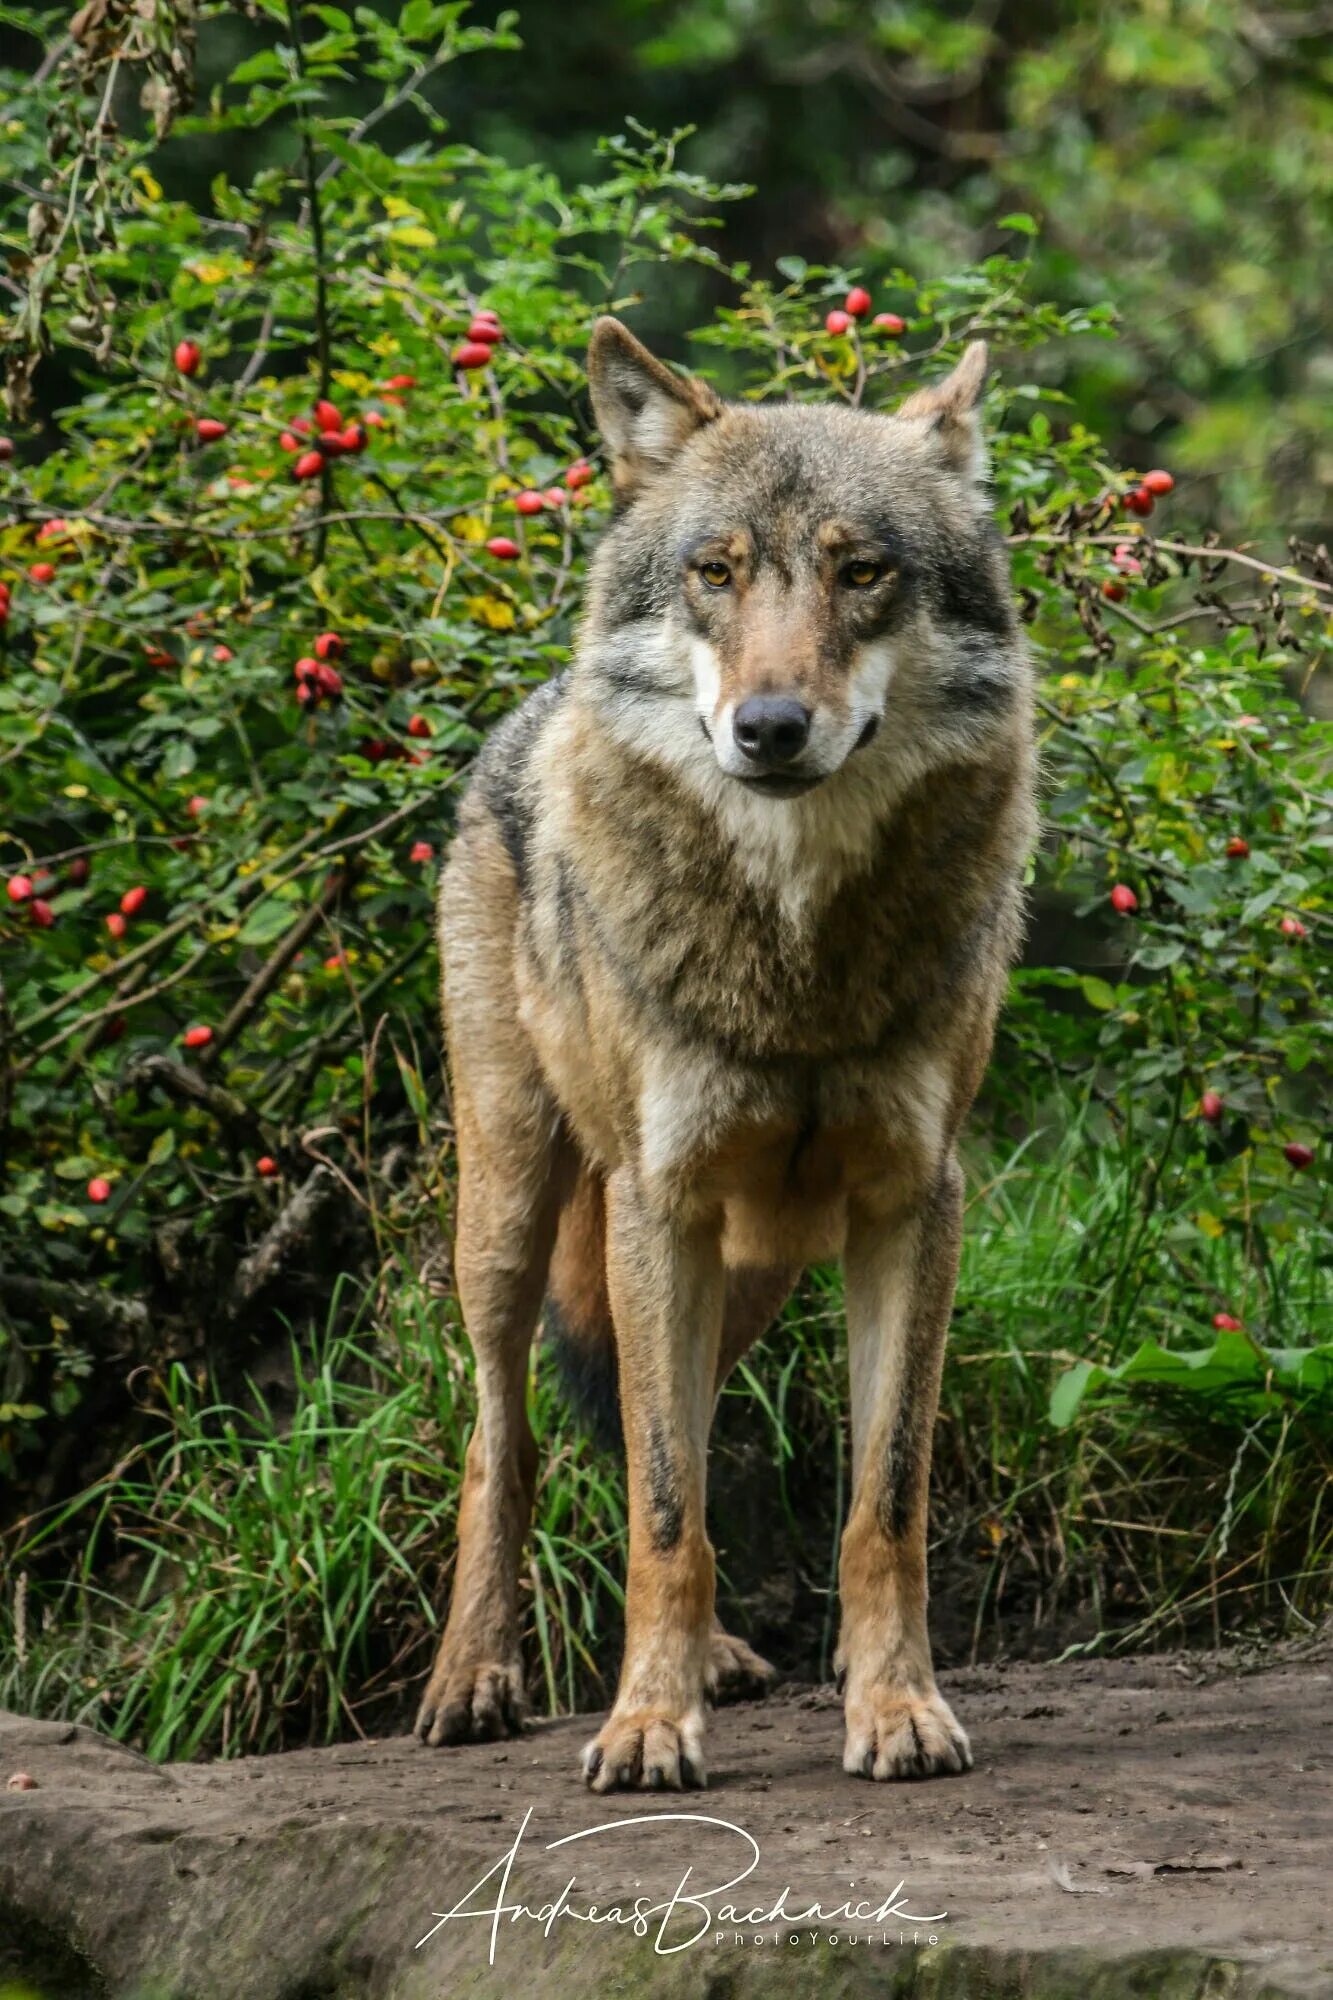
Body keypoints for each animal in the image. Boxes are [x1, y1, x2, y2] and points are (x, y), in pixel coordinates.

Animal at [410, 316, 1032, 1800]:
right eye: (716, 572)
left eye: (861, 572)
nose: (768, 729)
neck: (794, 955)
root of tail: (528, 709)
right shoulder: (660, 1197)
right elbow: (661, 1509)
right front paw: (646, 1724)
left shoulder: (913, 1200)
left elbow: (881, 1500)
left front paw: (894, 1708)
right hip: (515, 1216)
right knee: (509, 1434)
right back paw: (476, 1678)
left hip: (753, 1263)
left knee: (655, 1418)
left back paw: (722, 1663)